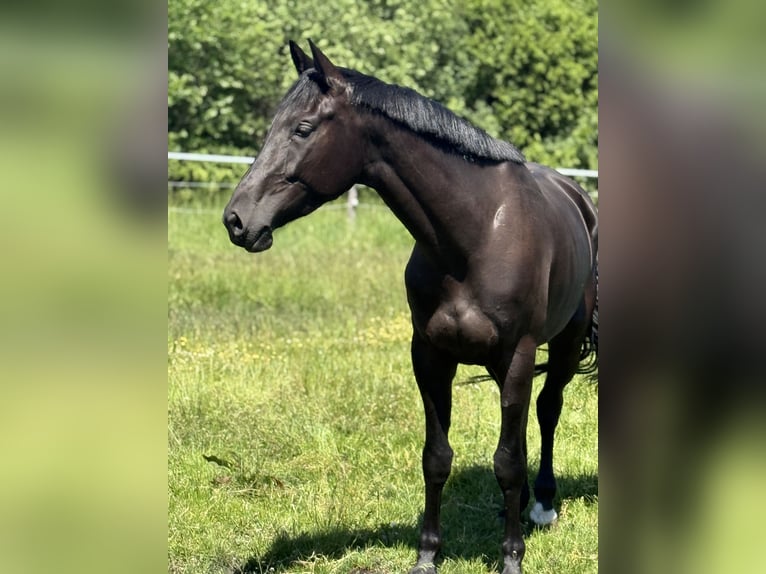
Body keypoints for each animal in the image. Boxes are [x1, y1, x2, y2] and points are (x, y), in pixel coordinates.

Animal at [223, 40, 598, 574]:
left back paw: (542, 505)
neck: (473, 236)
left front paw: (510, 558)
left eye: (303, 128)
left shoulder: (518, 356)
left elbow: (506, 460)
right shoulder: (429, 356)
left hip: (563, 345)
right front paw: (427, 555)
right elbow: (437, 457)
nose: (237, 220)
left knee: (547, 411)